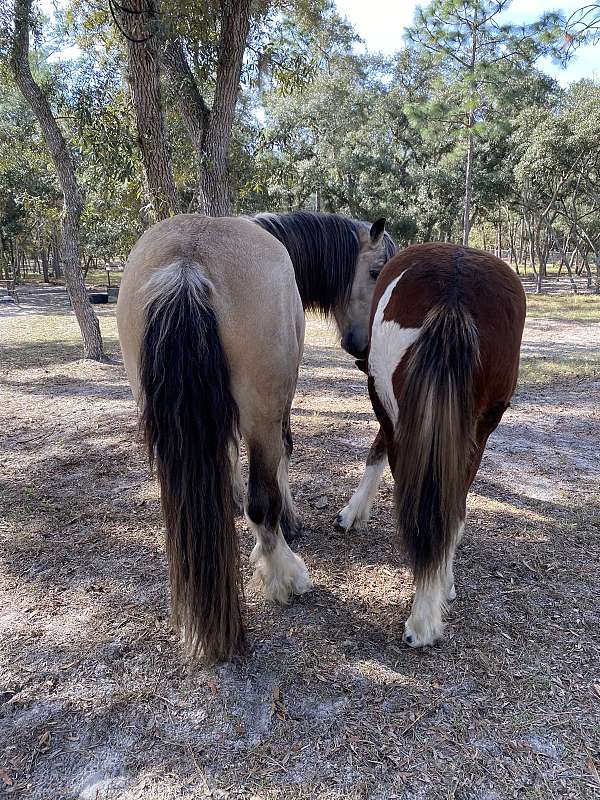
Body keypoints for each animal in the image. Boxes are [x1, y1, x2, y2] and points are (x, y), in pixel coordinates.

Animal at [117, 209, 394, 660]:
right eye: (375, 271)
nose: (364, 349)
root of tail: (187, 263)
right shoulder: (279, 405)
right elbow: (284, 456)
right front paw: (290, 522)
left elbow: (229, 459)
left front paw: (231, 497)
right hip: (261, 416)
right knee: (262, 503)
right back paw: (286, 575)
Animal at [336, 244, 524, 648]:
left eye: (368, 275)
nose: (354, 343)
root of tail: (454, 292)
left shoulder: (384, 406)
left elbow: (376, 449)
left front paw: (353, 512)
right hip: (480, 427)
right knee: (452, 504)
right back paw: (439, 585)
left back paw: (422, 616)